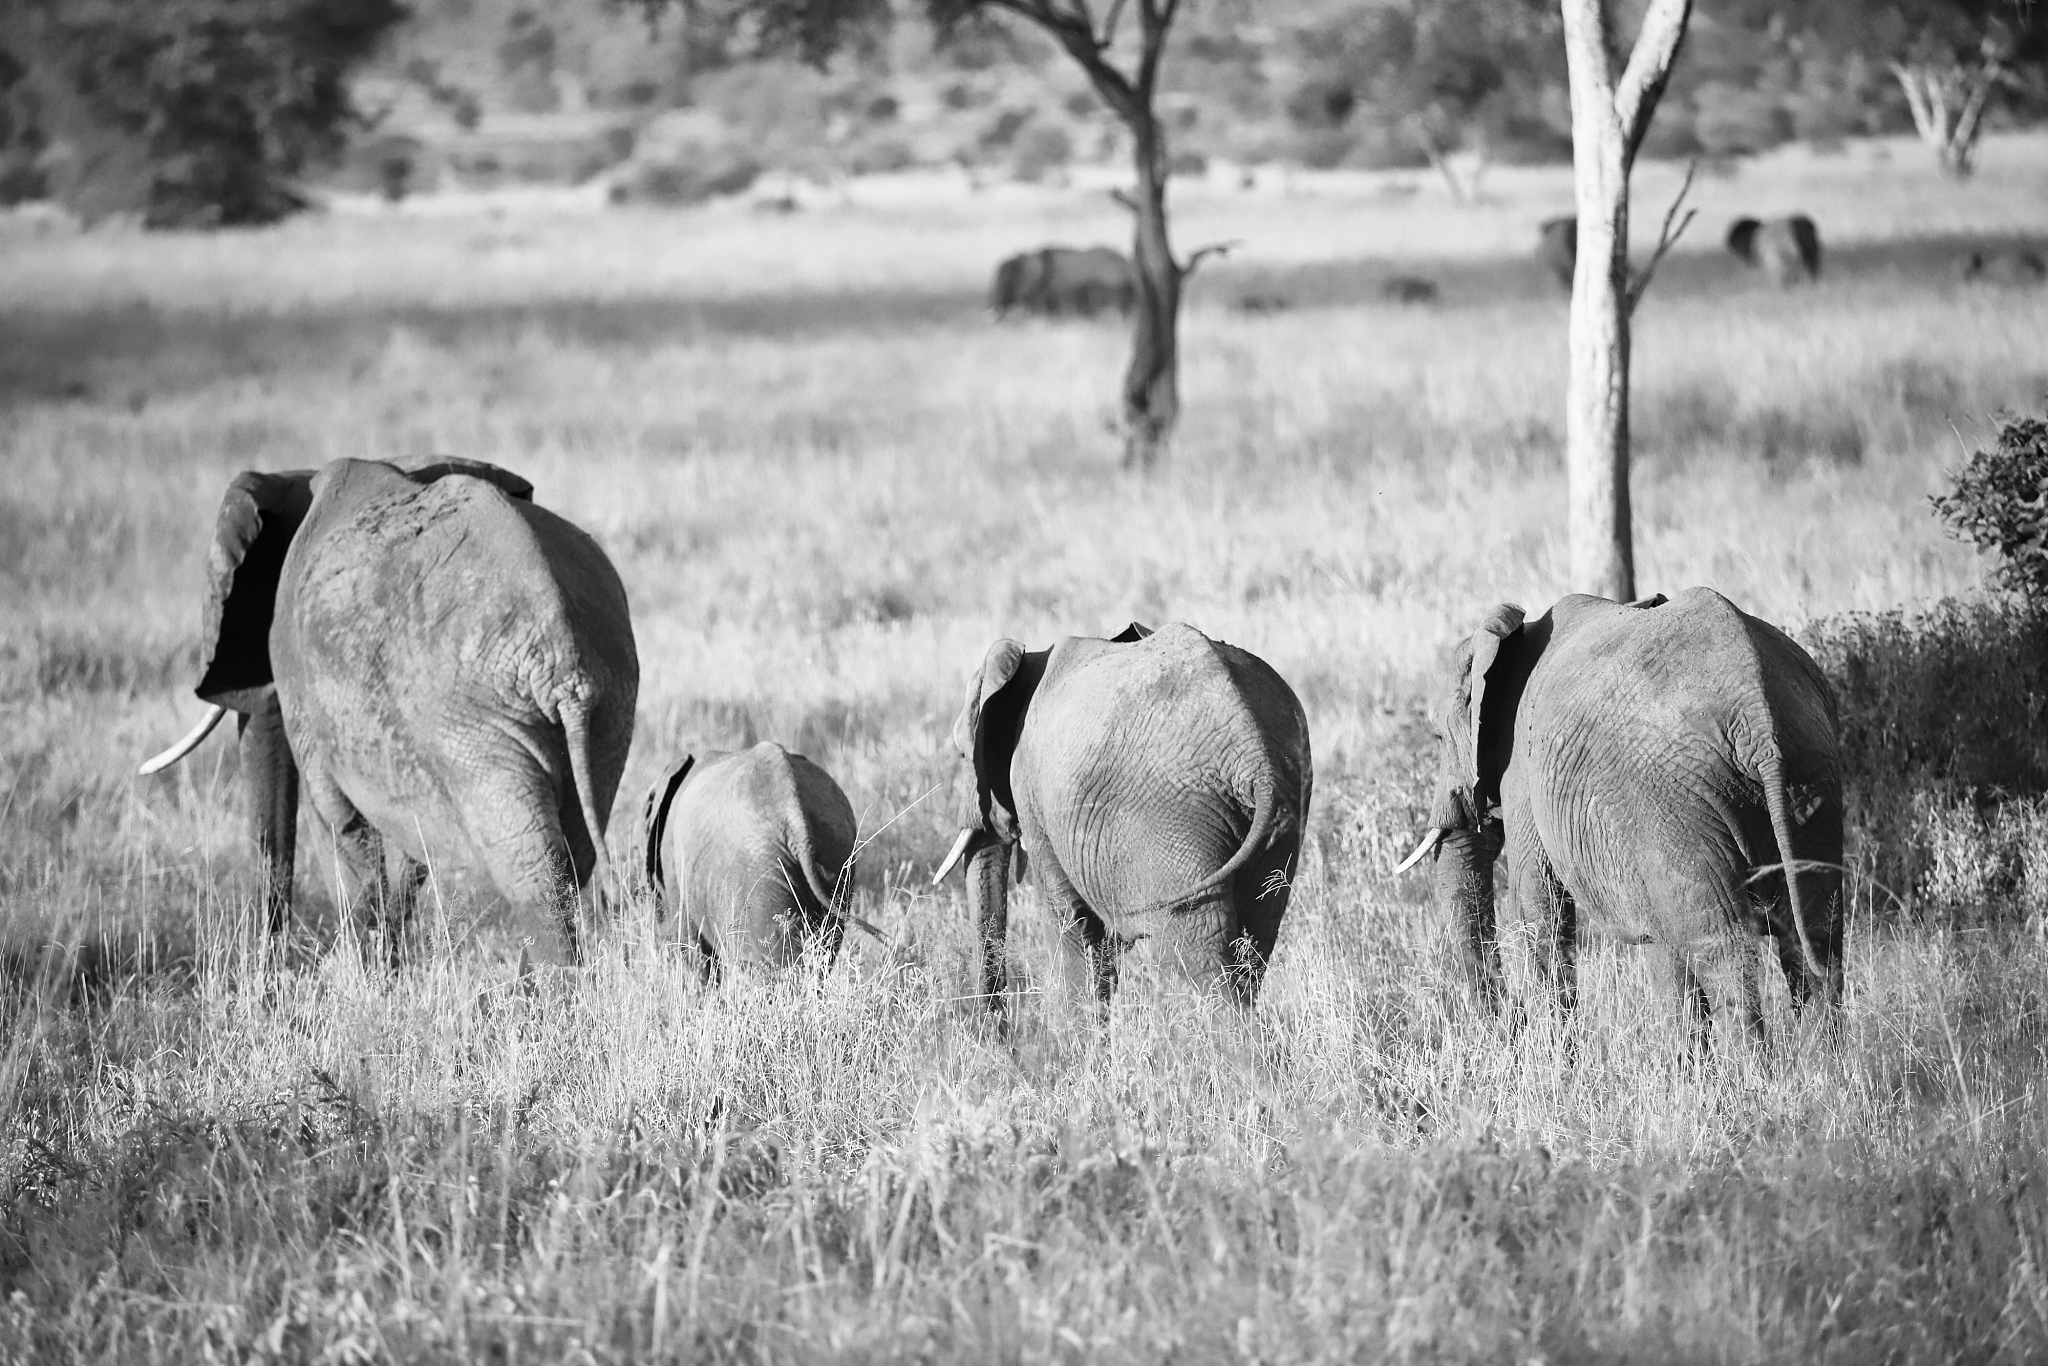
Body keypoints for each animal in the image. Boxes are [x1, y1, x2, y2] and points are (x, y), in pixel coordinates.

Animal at [139, 455, 638, 965]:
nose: (270, 965)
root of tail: (562, 655)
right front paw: (385, 961)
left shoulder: (297, 669)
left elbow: (338, 817)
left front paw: (370, 966)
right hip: (608, 702)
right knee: (573, 852)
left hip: (470, 713)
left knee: (530, 864)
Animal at [933, 621, 1313, 1011]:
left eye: (962, 753)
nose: (1000, 1028)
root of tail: (1255, 758)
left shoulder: (1033, 795)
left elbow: (1070, 920)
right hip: (1280, 817)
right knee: (1256, 937)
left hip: (1169, 821)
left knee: (1197, 952)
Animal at [1398, 588, 1843, 1051]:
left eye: (1437, 736)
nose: (1510, 1024)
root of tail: (1755, 710)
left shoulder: (1521, 767)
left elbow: (1537, 902)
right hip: (1811, 774)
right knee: (1817, 931)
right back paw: (1822, 1064)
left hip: (1680, 800)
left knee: (1724, 949)